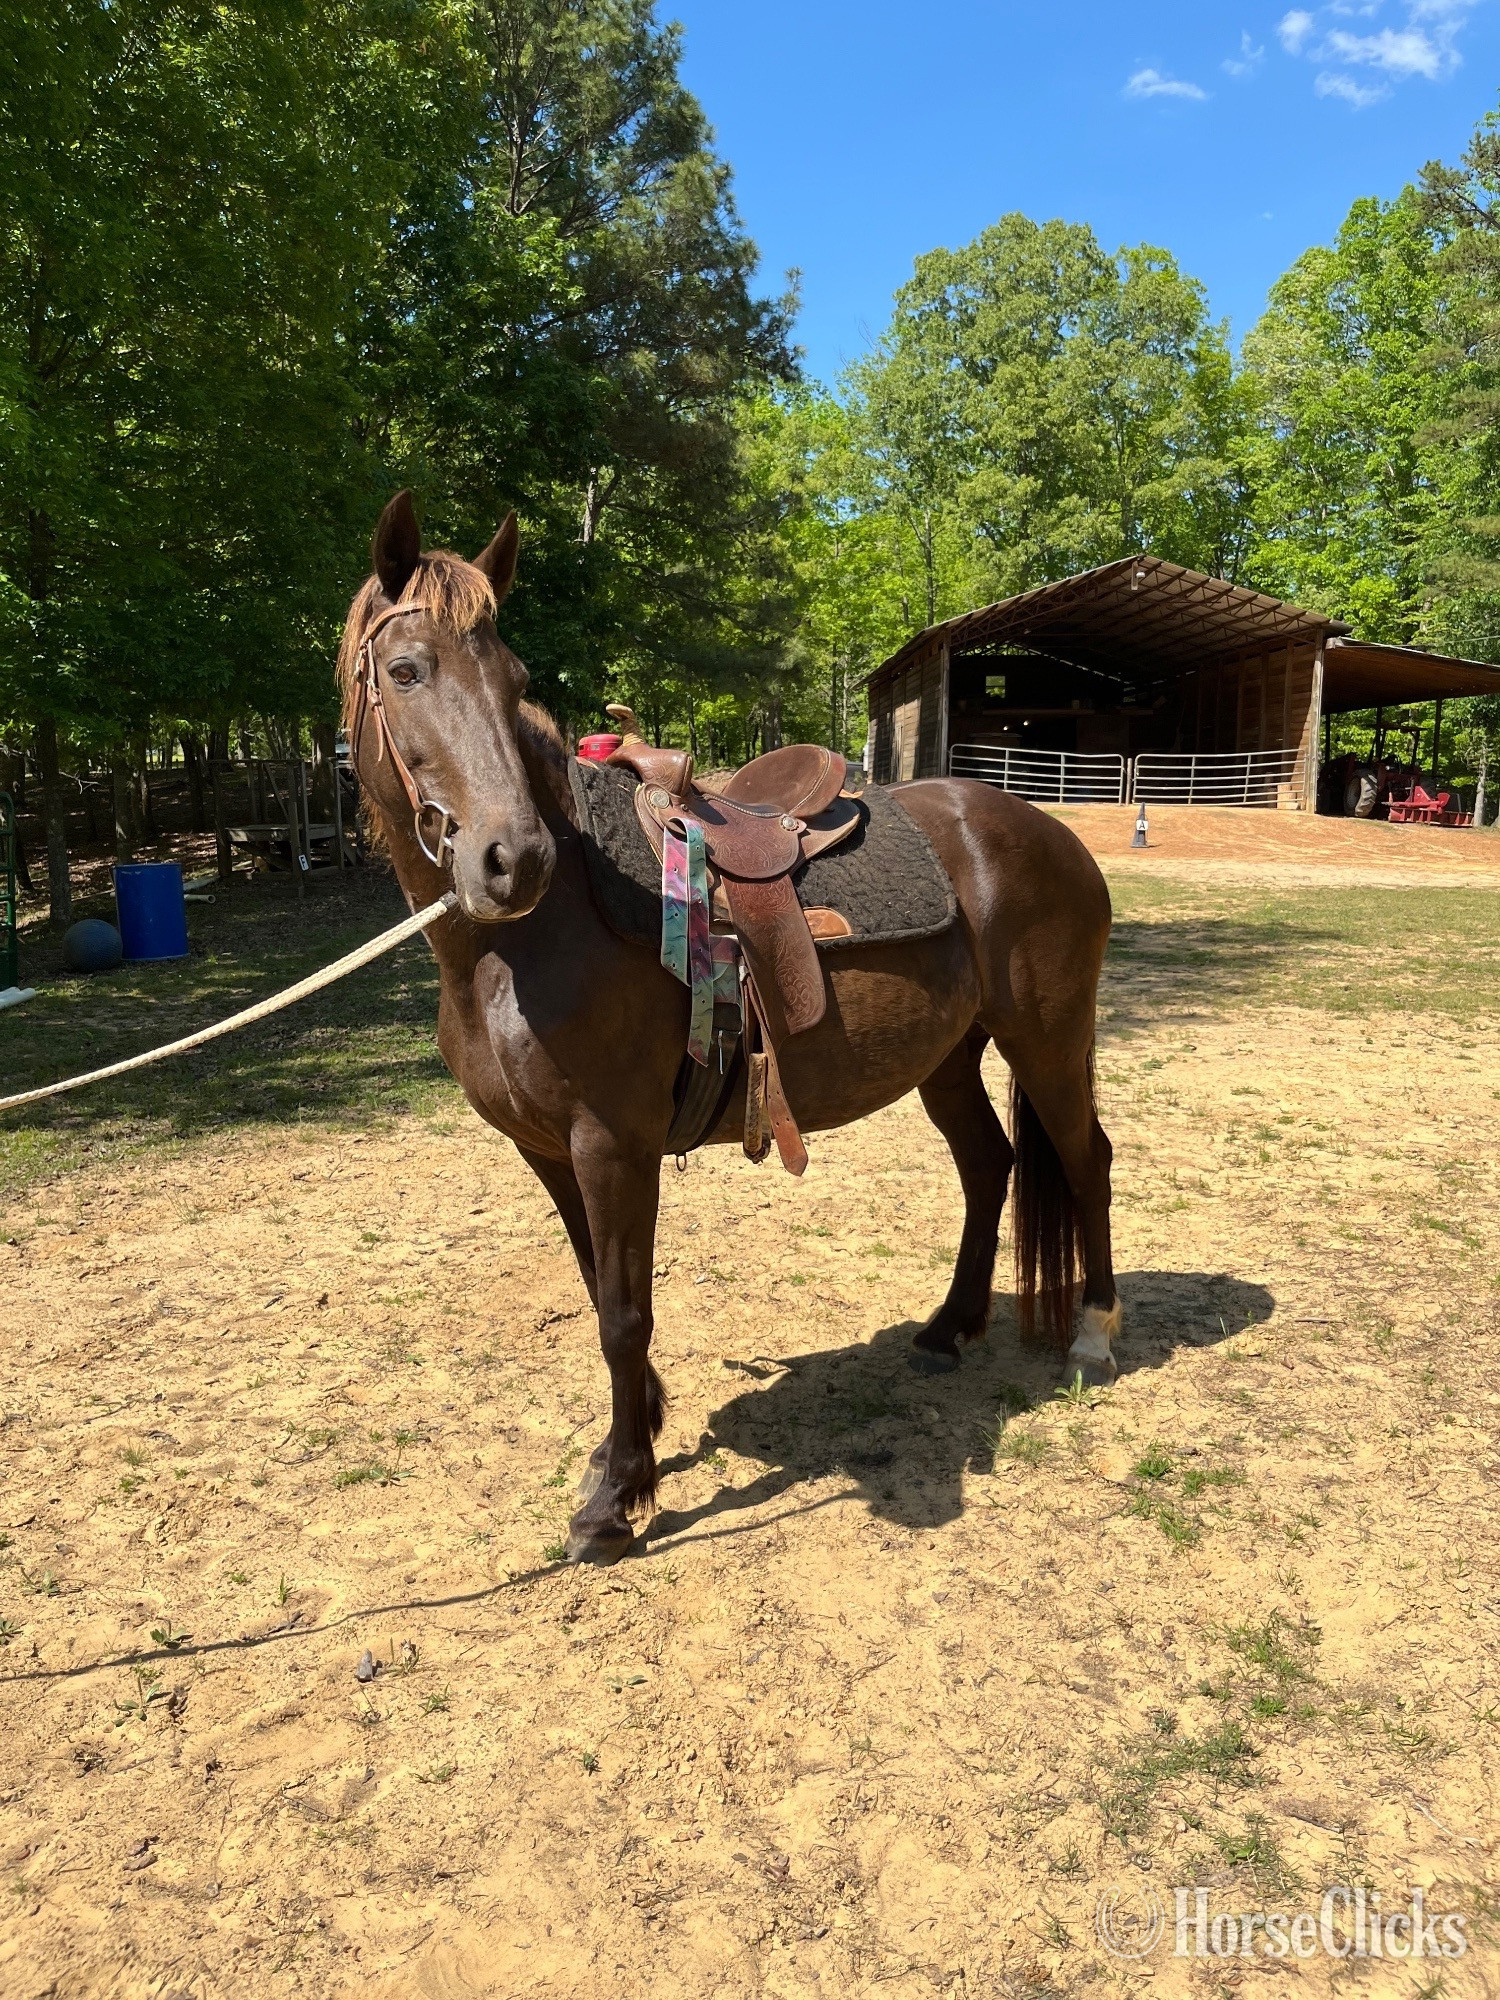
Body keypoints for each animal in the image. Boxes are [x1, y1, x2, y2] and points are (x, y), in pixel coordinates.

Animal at [339, 492, 1121, 1564]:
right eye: (407, 671)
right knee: (989, 1165)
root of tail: (1048, 832)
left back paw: (1093, 1335)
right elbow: (598, 1288)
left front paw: (615, 1498)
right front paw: (631, 1442)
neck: (537, 936)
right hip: (948, 1059)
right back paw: (949, 1328)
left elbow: (624, 1314)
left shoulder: (612, 1145)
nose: (514, 859)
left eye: (516, 681)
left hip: (1049, 1040)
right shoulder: (547, 1151)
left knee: (1086, 1160)